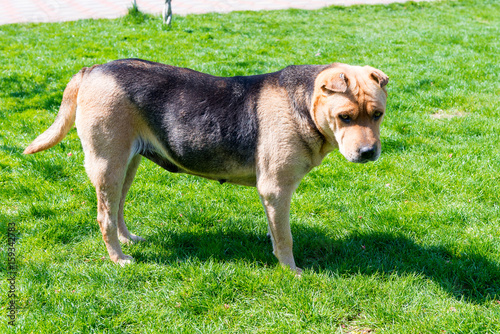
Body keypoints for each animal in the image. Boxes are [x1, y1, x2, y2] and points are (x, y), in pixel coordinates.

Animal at [23, 58, 388, 274]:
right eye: (345, 117)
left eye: (378, 114)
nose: (368, 152)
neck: (305, 106)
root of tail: (93, 69)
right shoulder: (276, 190)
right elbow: (285, 239)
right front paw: (291, 271)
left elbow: (277, 233)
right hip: (107, 164)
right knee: (104, 217)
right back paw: (118, 258)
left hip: (128, 165)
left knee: (117, 210)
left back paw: (128, 240)